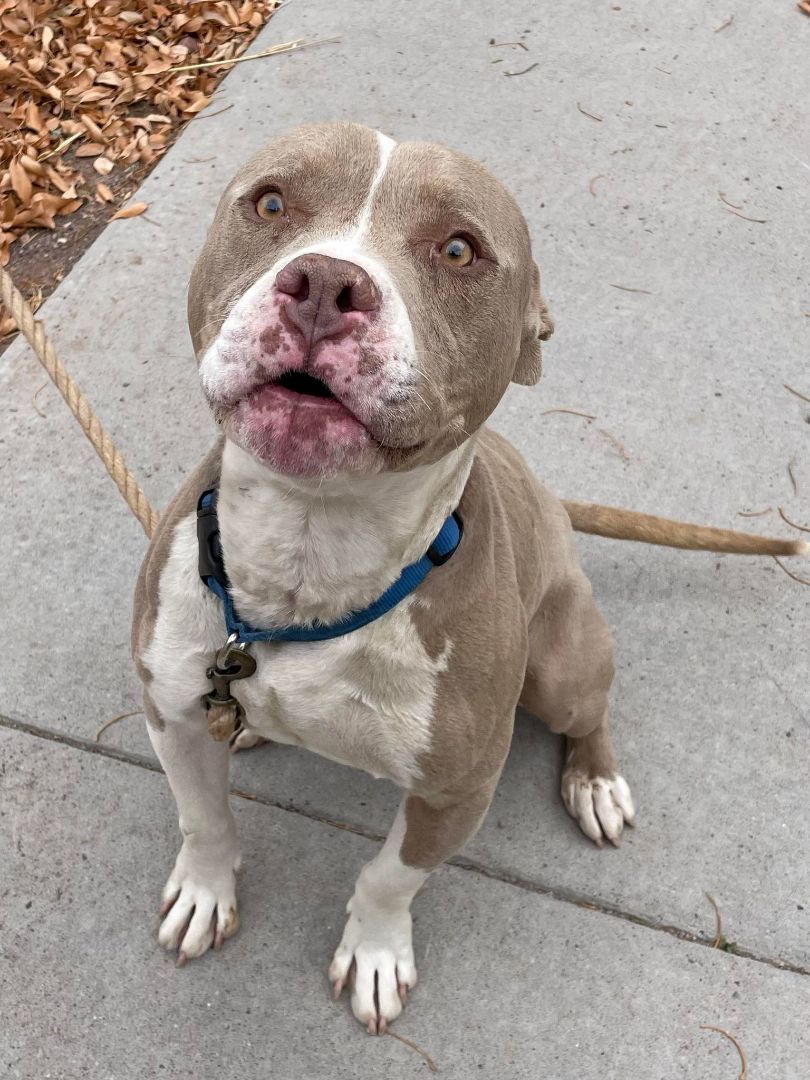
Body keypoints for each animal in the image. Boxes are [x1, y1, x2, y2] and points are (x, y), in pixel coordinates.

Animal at [131, 122, 807, 1032]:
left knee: (590, 710)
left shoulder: (456, 791)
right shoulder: (169, 707)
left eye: (459, 250)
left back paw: (595, 781)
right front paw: (206, 893)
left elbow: (389, 877)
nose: (326, 284)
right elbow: (202, 820)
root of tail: (556, 504)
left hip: (561, 665)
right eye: (270, 203)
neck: (311, 550)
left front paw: (376, 953)